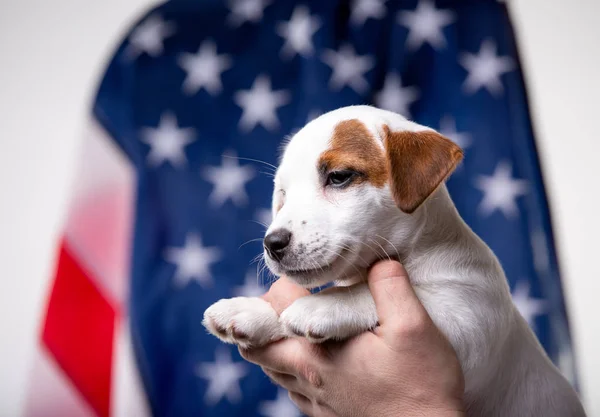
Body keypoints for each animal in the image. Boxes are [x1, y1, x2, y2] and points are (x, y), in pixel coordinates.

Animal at [203, 105, 584, 414]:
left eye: (339, 177)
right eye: (283, 194)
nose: (272, 243)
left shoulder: (467, 321)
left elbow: (372, 294)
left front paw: (323, 305)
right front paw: (252, 311)